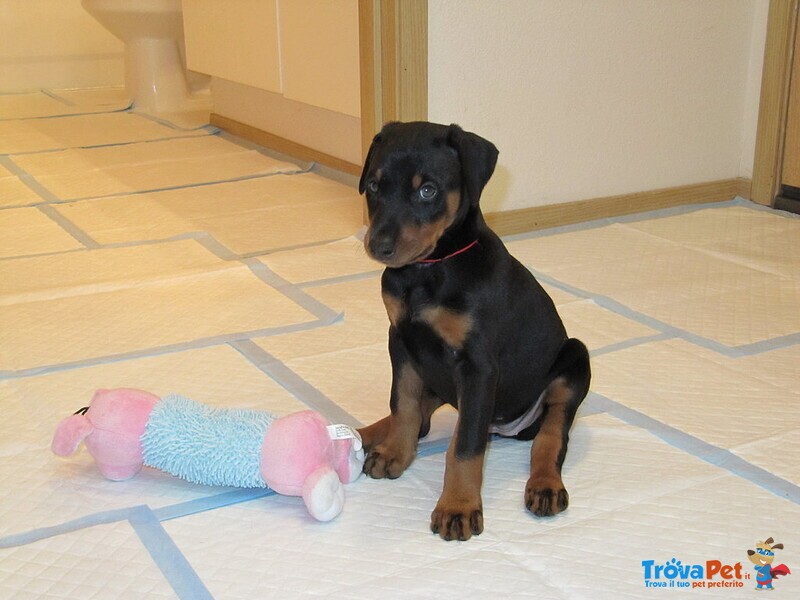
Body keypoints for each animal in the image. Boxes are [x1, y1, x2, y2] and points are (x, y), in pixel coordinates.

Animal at [360, 119, 592, 540]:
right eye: (373, 185)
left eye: (428, 189)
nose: (378, 245)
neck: (430, 269)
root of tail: (505, 427)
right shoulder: (401, 341)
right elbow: (402, 403)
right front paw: (395, 452)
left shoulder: (477, 366)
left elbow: (465, 445)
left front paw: (458, 507)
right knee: (422, 414)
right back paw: (368, 434)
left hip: (573, 358)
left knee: (551, 436)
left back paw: (545, 486)